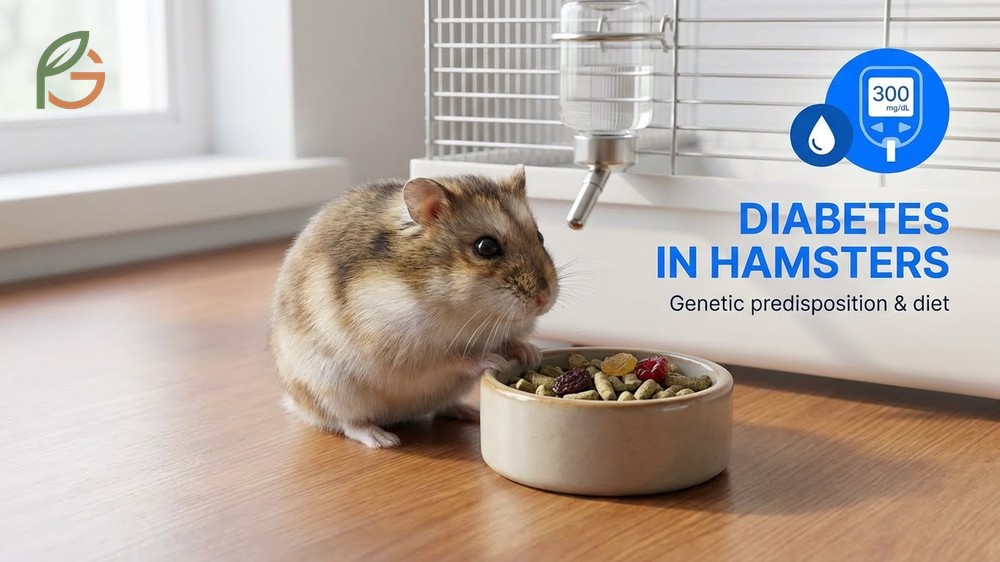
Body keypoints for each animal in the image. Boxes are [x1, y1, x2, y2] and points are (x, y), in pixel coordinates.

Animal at [269, 165, 558, 448]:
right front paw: (494, 360)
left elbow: (510, 341)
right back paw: (384, 439)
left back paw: (470, 412)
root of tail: (295, 404)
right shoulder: (406, 347)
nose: (544, 298)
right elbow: (455, 357)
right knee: (348, 424)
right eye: (485, 246)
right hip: (333, 392)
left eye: (540, 236)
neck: (469, 312)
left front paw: (531, 354)